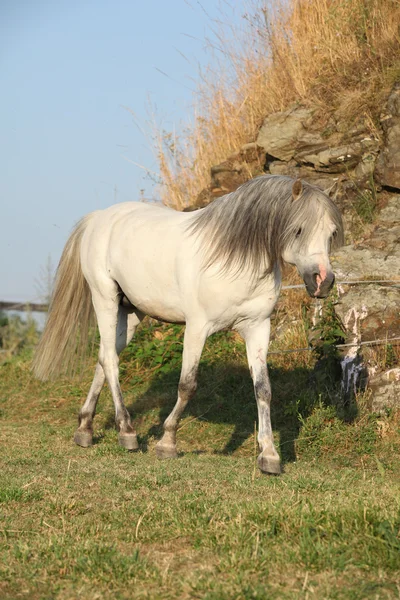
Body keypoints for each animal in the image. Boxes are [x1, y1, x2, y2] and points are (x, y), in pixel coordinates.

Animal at [33, 176, 344, 476]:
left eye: (331, 233)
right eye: (299, 230)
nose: (323, 281)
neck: (234, 261)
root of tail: (99, 218)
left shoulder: (257, 328)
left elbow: (263, 389)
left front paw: (269, 456)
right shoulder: (197, 327)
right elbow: (187, 385)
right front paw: (167, 443)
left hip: (130, 312)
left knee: (104, 358)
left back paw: (85, 429)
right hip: (105, 299)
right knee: (110, 361)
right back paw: (127, 432)